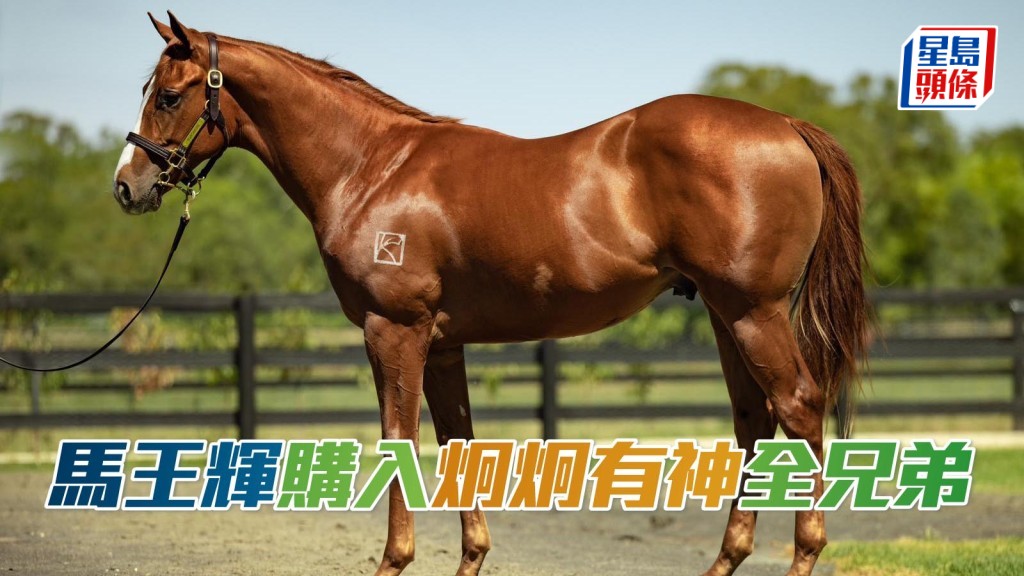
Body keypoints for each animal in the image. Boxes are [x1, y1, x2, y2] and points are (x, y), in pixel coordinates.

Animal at [114, 13, 867, 576]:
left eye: (170, 95)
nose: (127, 186)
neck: (371, 167)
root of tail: (788, 127)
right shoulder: (443, 344)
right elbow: (457, 444)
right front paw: (470, 555)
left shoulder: (394, 330)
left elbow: (399, 439)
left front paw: (393, 561)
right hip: (723, 313)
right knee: (754, 421)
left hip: (752, 312)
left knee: (799, 409)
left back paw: (804, 554)